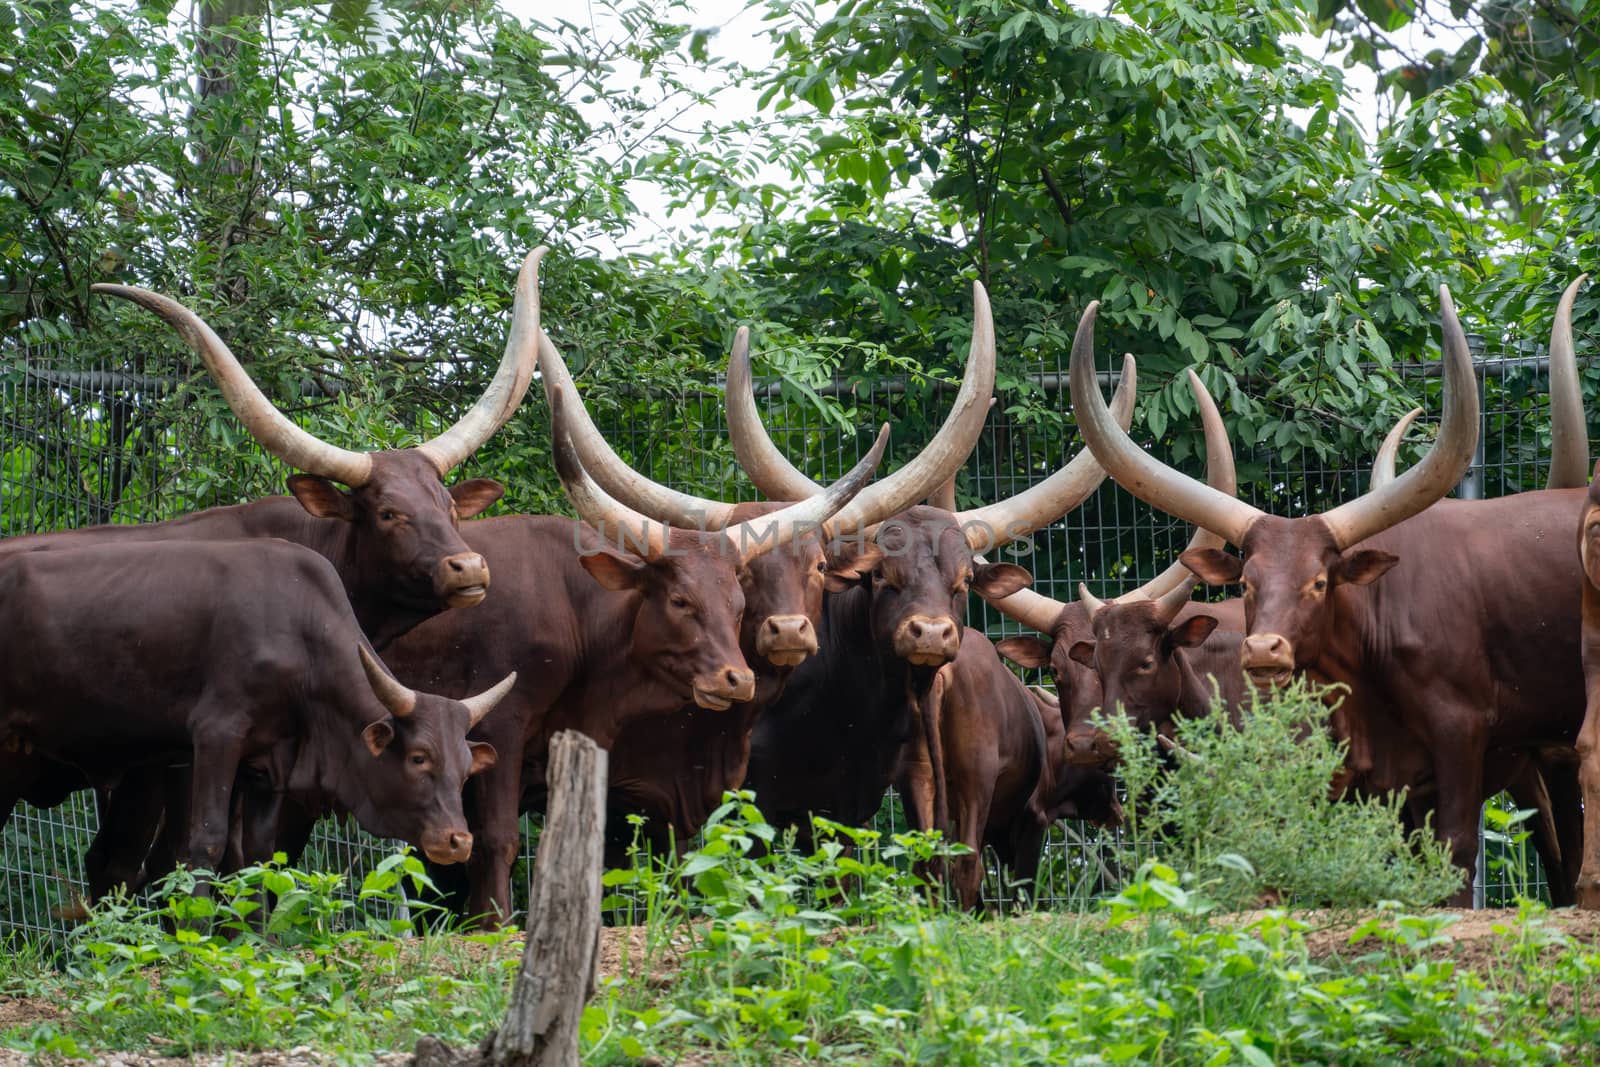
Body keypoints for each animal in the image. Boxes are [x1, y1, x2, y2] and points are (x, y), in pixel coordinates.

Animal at [0, 543, 512, 876]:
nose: (458, 840)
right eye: (419, 757)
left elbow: (261, 856)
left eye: (466, 768)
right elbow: (207, 843)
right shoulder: (216, 735)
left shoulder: (268, 765)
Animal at [1068, 278, 1593, 902]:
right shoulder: (1392, 782)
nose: (1263, 650)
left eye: (1319, 582)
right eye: (1247, 581)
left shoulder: (1460, 732)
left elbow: (1456, 854)